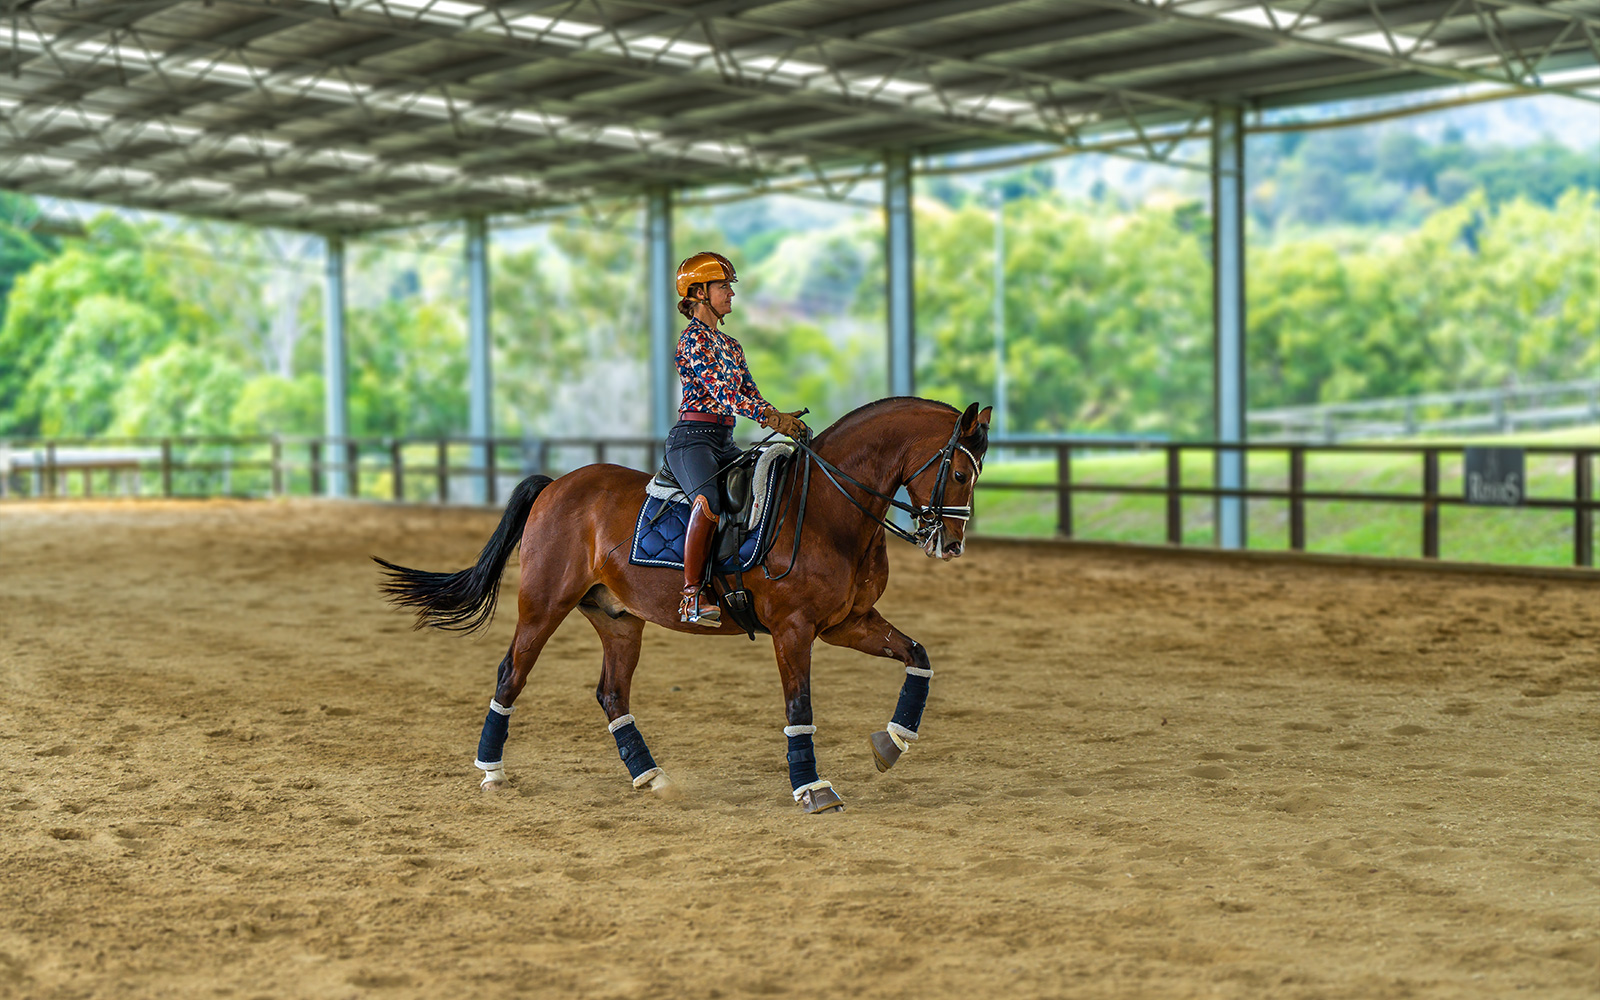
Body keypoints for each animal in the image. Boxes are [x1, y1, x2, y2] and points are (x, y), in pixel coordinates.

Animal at [377, 395, 985, 812]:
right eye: (959, 471)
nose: (951, 544)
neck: (826, 510)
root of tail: (556, 486)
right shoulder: (794, 629)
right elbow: (800, 709)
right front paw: (813, 788)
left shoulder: (847, 622)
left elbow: (918, 656)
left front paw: (892, 742)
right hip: (542, 606)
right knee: (510, 675)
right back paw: (492, 771)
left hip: (619, 620)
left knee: (611, 694)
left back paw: (651, 777)